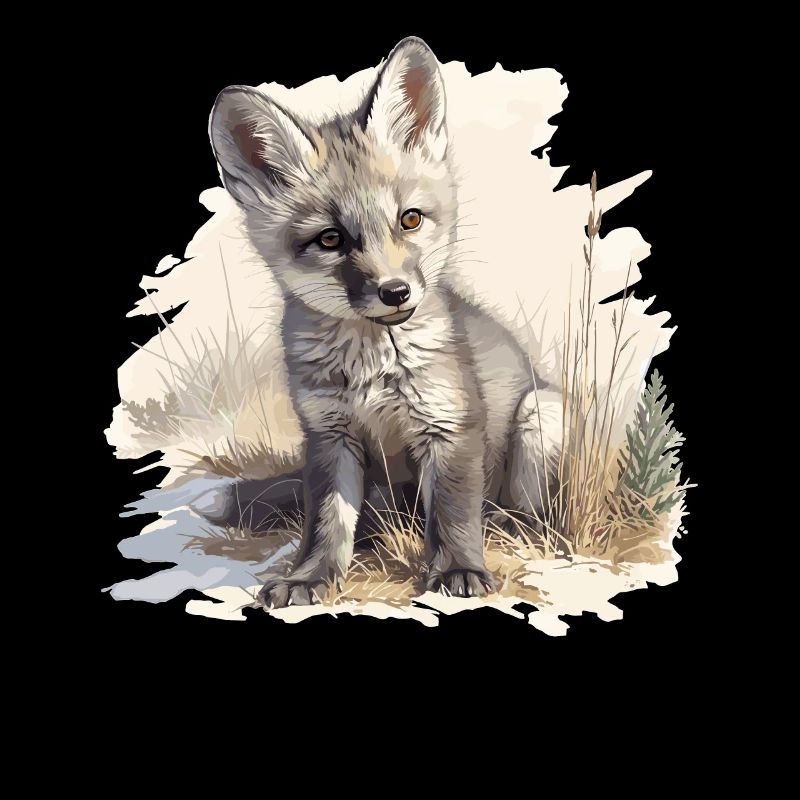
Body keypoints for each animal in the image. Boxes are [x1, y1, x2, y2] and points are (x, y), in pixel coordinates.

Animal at [208, 36, 562, 607]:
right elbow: (326, 524)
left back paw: (514, 528)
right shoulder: (329, 437)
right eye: (331, 239)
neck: (371, 369)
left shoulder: (451, 427)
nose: (395, 292)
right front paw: (310, 578)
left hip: (541, 416)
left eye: (410, 219)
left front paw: (460, 570)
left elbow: (454, 515)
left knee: (526, 515)